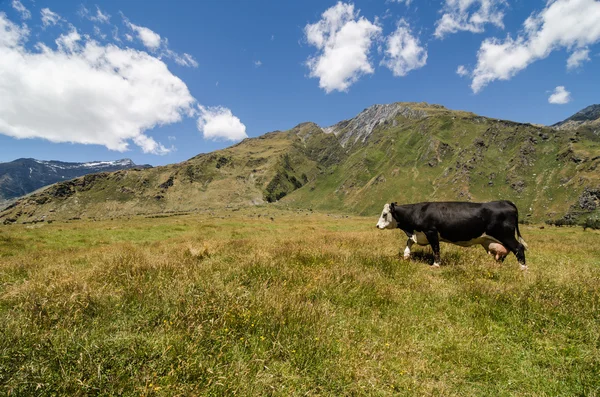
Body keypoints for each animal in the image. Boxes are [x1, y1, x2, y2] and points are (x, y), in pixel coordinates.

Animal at [378, 201, 528, 270]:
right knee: (505, 252)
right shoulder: (419, 234)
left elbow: (436, 249)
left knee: (519, 248)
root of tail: (505, 202)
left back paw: (523, 269)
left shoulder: (431, 232)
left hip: (506, 235)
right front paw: (406, 255)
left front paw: (436, 264)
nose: (377, 226)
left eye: (384, 214)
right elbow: (409, 242)